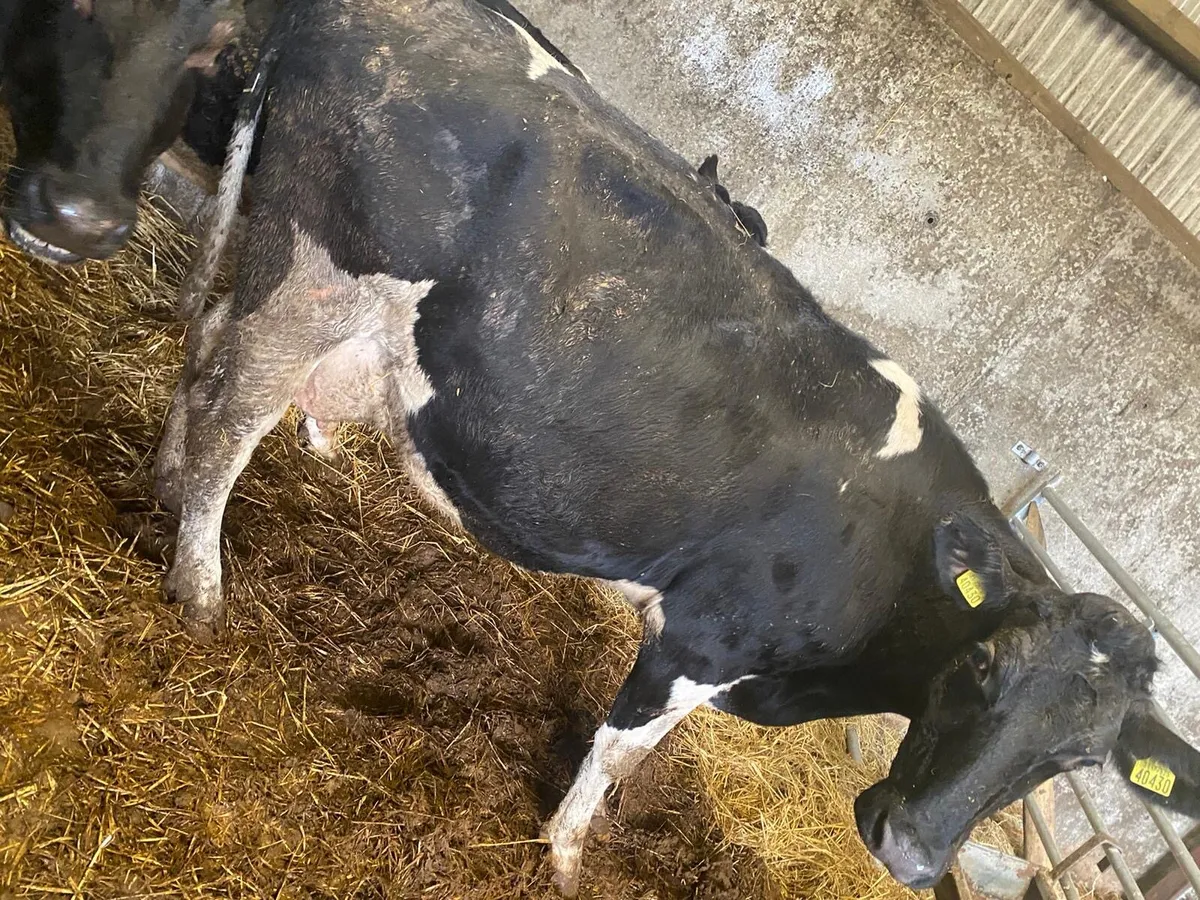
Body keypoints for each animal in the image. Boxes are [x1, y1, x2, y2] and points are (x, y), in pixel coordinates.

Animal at [149, 1, 1200, 894]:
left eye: (1073, 758)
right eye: (983, 668)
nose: (908, 852)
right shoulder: (703, 636)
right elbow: (622, 750)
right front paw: (564, 852)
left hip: (277, 257)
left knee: (204, 336)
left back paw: (162, 478)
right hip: (317, 274)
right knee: (234, 407)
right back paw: (199, 585)